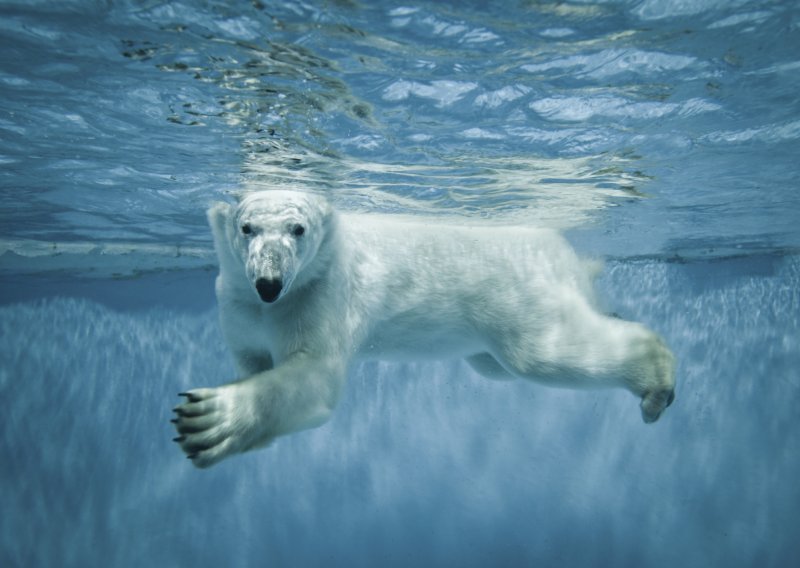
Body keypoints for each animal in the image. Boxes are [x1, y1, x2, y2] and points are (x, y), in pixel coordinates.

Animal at [173, 190, 676, 466]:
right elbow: (253, 359)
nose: (269, 283)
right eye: (246, 227)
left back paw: (656, 379)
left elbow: (314, 376)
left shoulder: (321, 294)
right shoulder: (236, 304)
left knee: (541, 354)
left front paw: (208, 419)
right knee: (498, 364)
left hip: (515, 293)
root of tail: (563, 251)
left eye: (298, 228)